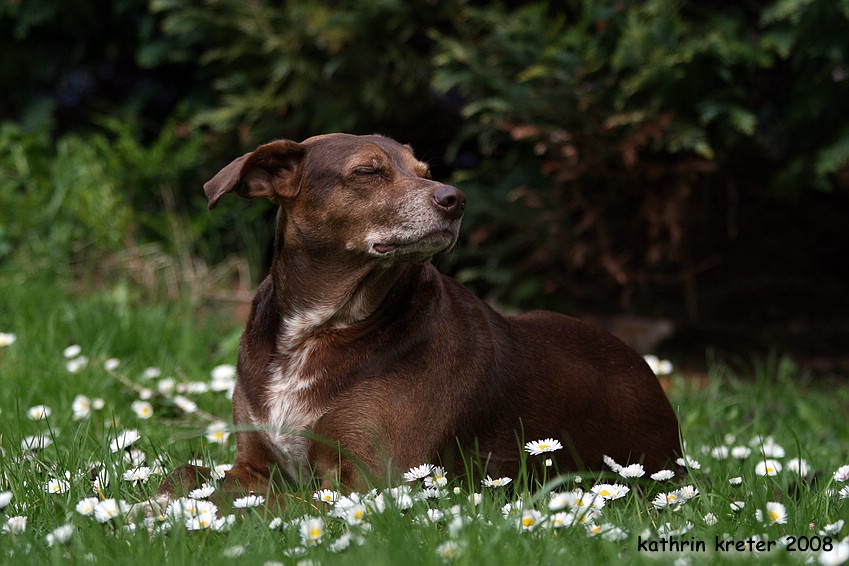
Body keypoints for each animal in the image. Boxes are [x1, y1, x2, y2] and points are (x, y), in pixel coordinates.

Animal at [161, 134, 676, 502]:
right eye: (368, 171)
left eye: (425, 173)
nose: (456, 198)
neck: (323, 327)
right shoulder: (255, 463)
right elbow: (185, 474)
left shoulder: (369, 481)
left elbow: (270, 503)